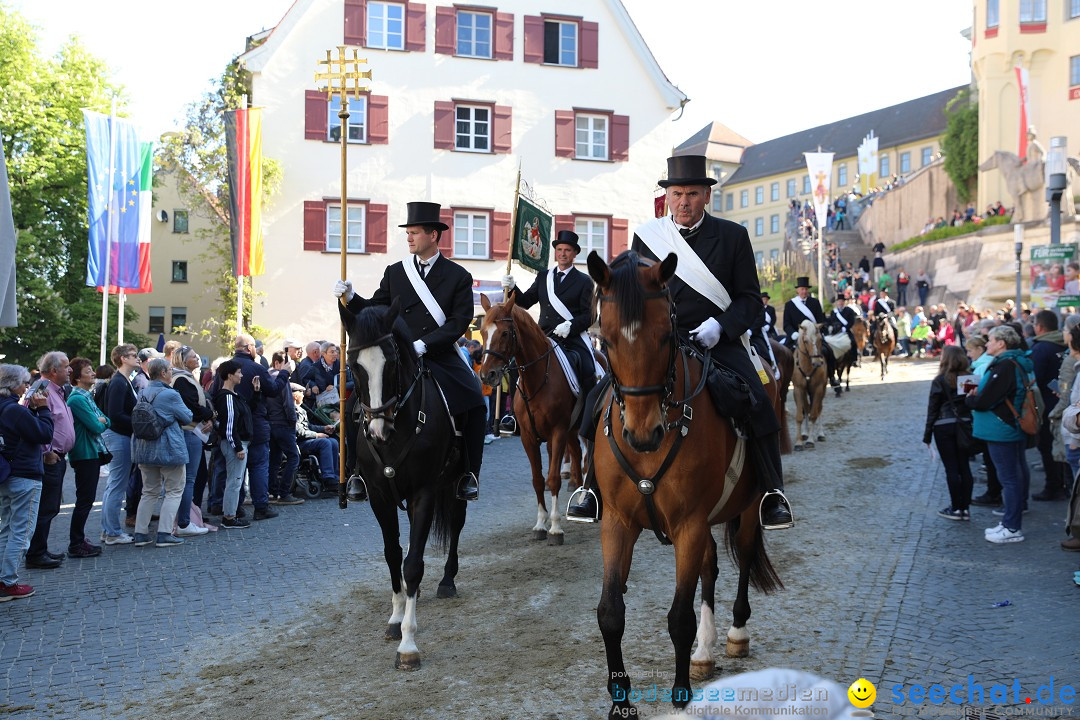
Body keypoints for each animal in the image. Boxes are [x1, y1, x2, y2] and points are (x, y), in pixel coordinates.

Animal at [479, 289, 583, 544]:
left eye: (505, 333)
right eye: (484, 332)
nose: (487, 375)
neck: (537, 379)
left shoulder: (558, 431)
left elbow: (553, 477)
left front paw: (555, 527)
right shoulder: (528, 436)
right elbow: (538, 479)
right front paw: (540, 524)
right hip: (571, 430)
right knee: (576, 454)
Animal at [587, 250, 781, 716]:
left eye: (664, 336)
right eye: (606, 340)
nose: (643, 435)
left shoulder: (688, 523)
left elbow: (679, 616)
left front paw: (680, 698)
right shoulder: (617, 522)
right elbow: (610, 612)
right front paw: (621, 702)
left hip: (746, 508)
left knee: (744, 555)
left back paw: (735, 633)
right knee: (710, 567)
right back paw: (703, 652)